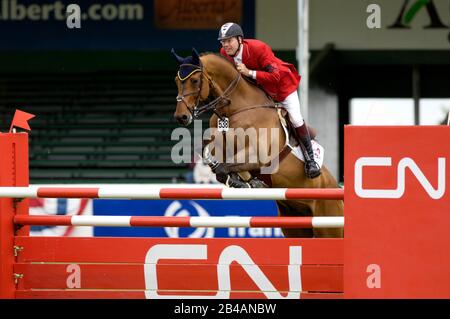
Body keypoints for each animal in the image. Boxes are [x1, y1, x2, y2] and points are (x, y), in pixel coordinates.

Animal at [171, 47, 342, 238]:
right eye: (177, 81)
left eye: (194, 81)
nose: (181, 117)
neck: (234, 110)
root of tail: (335, 186)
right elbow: (209, 153)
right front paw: (243, 180)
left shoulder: (258, 155)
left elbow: (226, 165)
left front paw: (241, 181)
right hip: (294, 222)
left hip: (328, 224)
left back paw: (312, 167)